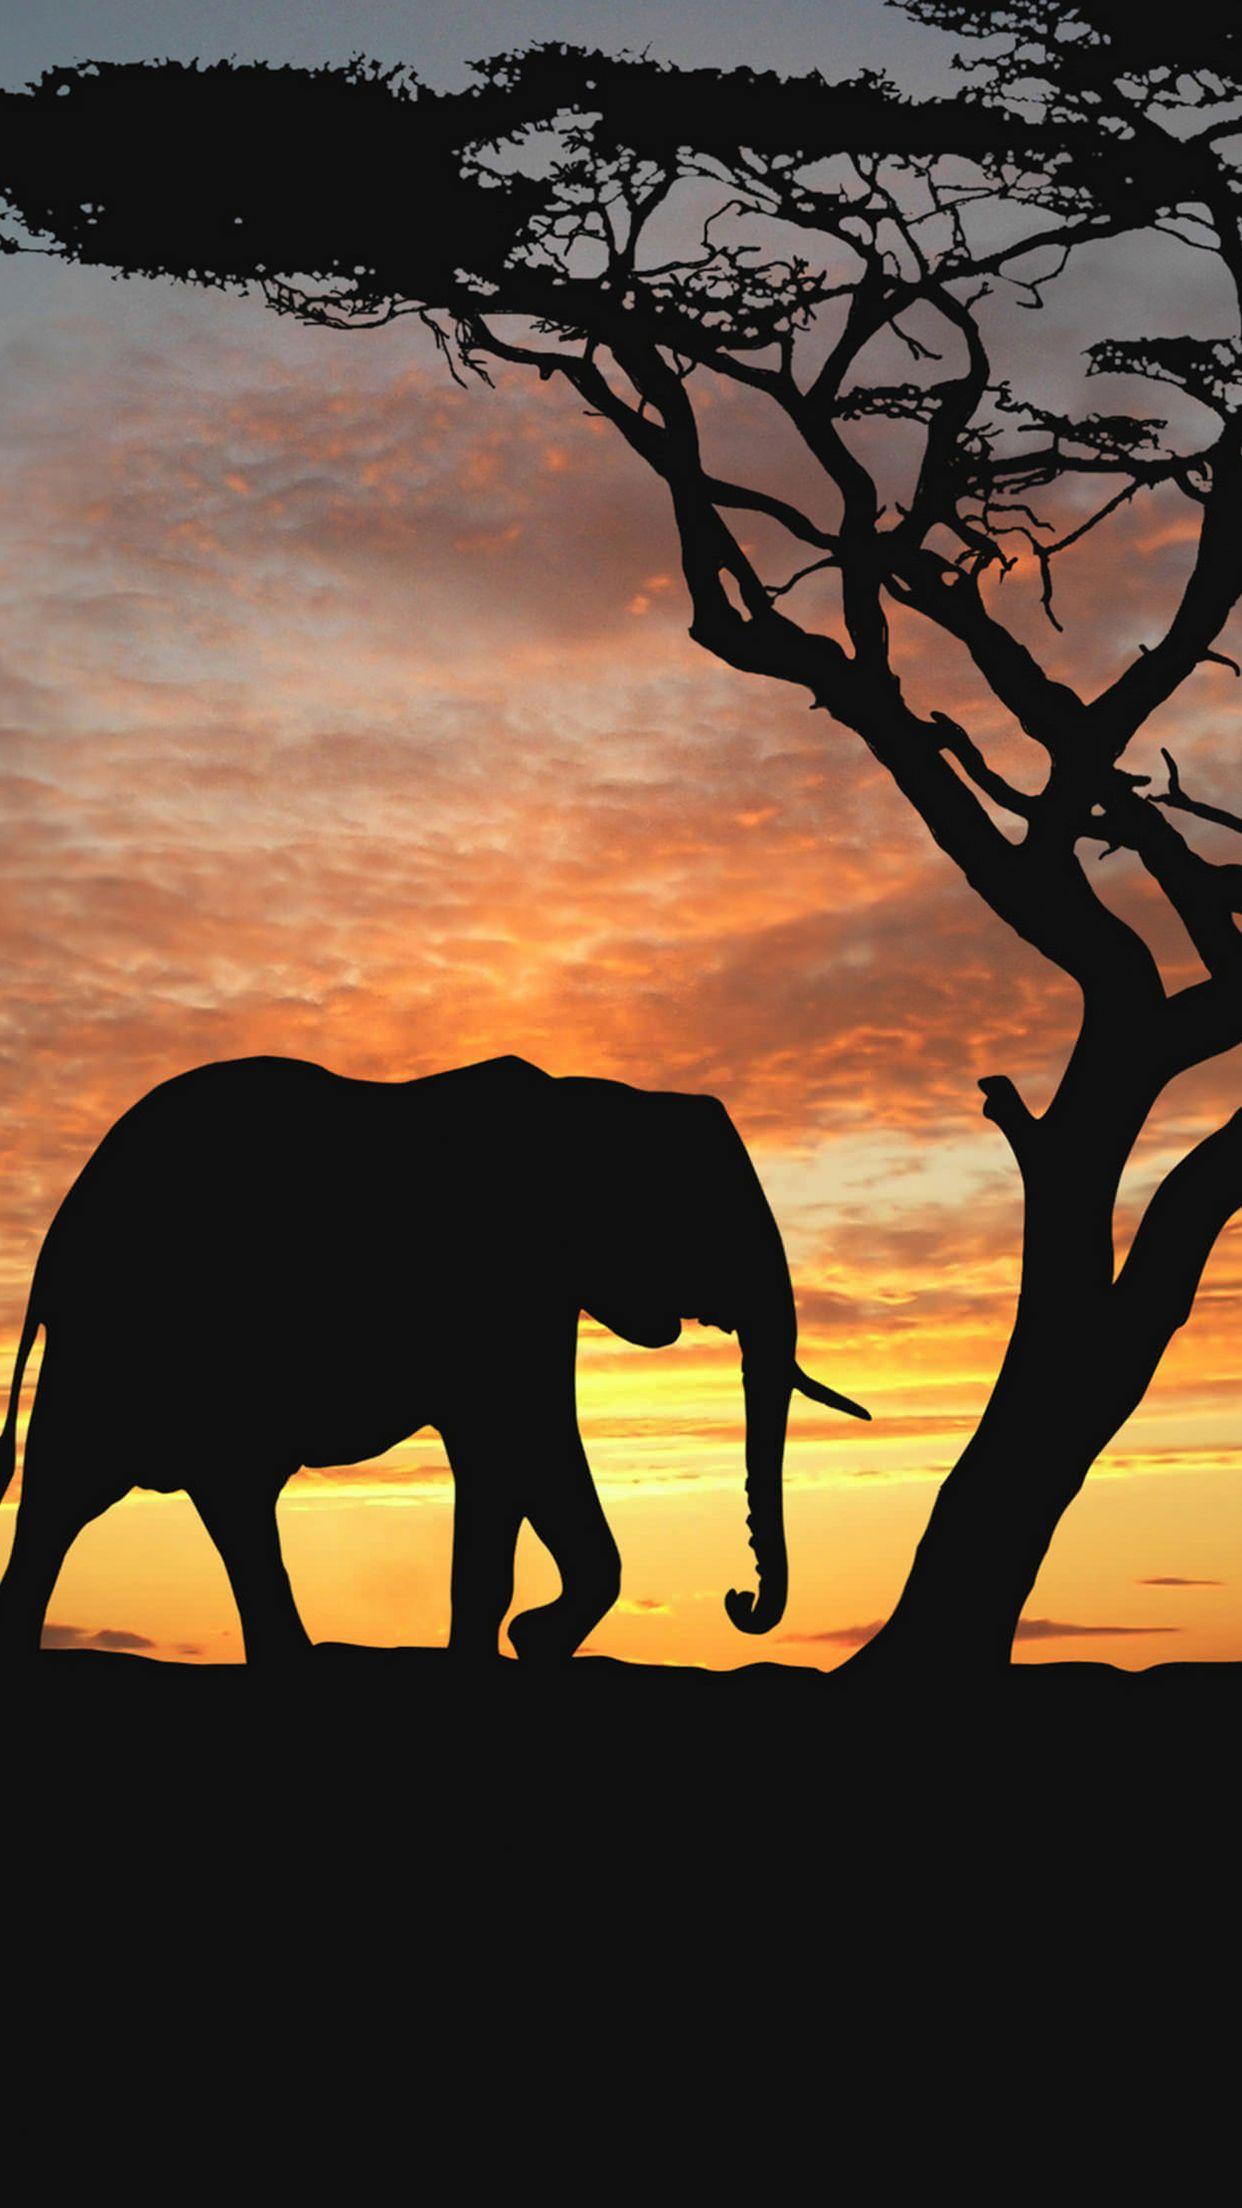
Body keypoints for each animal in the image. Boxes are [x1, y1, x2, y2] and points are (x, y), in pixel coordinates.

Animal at [0, 1053, 868, 1662]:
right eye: (712, 1221)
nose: (737, 1600)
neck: (595, 1101)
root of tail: (58, 1234)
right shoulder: (505, 1285)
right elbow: (522, 1439)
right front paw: (526, 1640)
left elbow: (515, 1461)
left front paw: (520, 1644)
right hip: (123, 1339)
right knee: (74, 1493)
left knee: (212, 1496)